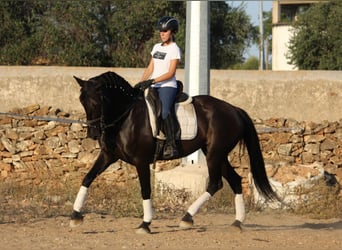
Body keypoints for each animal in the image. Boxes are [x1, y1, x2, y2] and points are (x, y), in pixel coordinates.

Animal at [70, 71, 278, 234]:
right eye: (82, 101)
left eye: (98, 101)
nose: (93, 133)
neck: (125, 116)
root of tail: (233, 109)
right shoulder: (108, 156)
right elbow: (87, 178)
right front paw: (75, 215)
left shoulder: (141, 161)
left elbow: (145, 189)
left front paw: (145, 224)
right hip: (216, 153)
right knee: (234, 180)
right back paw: (237, 222)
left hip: (214, 154)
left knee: (215, 183)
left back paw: (187, 218)